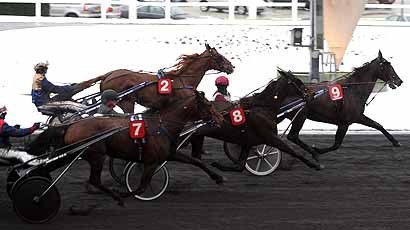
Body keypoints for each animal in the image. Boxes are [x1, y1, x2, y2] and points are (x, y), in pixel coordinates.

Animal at [27, 90, 224, 205]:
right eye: (208, 104)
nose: (221, 119)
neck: (161, 125)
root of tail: (70, 126)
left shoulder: (170, 154)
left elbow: (196, 162)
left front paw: (218, 178)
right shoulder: (151, 162)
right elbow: (142, 187)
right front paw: (123, 192)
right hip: (97, 155)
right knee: (95, 180)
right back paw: (115, 197)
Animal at [189, 70, 324, 172]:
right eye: (298, 81)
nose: (312, 94)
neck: (263, 107)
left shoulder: (247, 142)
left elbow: (239, 166)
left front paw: (218, 165)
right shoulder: (271, 137)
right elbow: (294, 152)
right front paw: (315, 165)